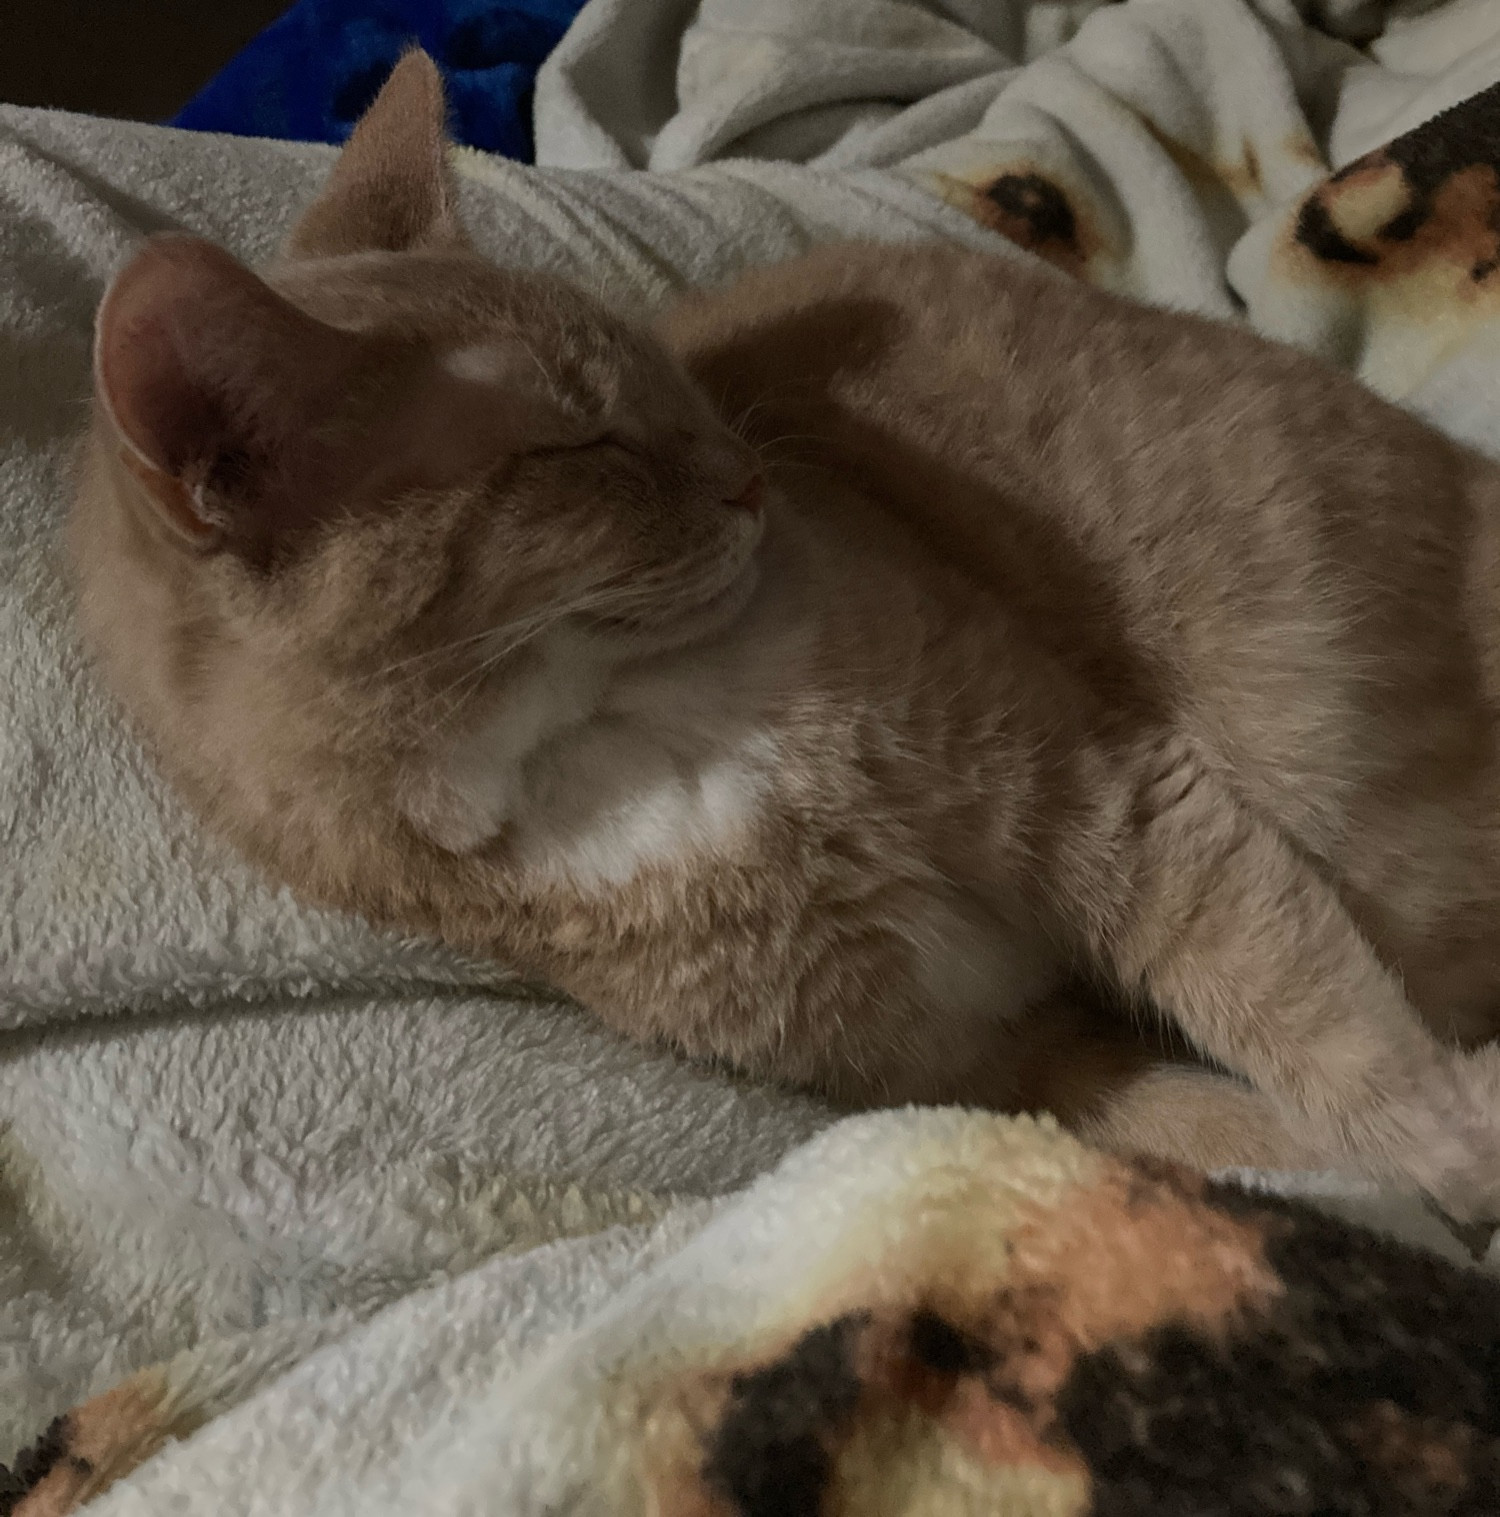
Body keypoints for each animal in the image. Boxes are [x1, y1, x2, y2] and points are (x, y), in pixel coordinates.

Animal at [70, 59, 1500, 1213]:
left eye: (668, 377)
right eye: (585, 442)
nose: (748, 476)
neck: (630, 751)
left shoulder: (1119, 802)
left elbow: (1305, 1007)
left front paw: (1451, 1145)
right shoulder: (993, 1053)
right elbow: (1211, 1119)